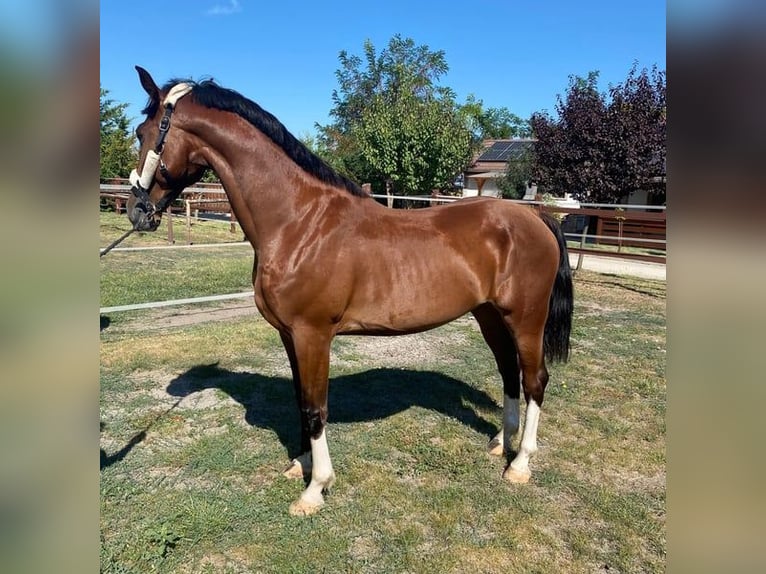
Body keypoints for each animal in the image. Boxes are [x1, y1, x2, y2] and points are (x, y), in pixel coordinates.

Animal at [127, 66, 568, 516]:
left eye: (143, 132)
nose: (137, 210)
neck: (298, 222)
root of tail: (537, 218)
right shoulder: (289, 335)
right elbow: (300, 401)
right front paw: (301, 464)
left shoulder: (313, 335)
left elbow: (315, 406)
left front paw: (315, 489)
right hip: (490, 316)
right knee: (509, 374)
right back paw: (500, 444)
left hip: (526, 320)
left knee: (535, 380)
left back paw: (520, 463)